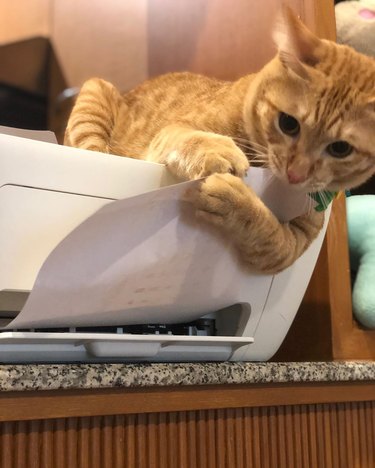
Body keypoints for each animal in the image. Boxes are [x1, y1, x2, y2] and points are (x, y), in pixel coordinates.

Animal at [64, 8, 375, 274]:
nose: (295, 174)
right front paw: (217, 151)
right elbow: (192, 139)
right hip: (95, 92)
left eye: (340, 149)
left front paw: (234, 200)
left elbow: (272, 237)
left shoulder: (293, 245)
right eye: (288, 123)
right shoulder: (174, 130)